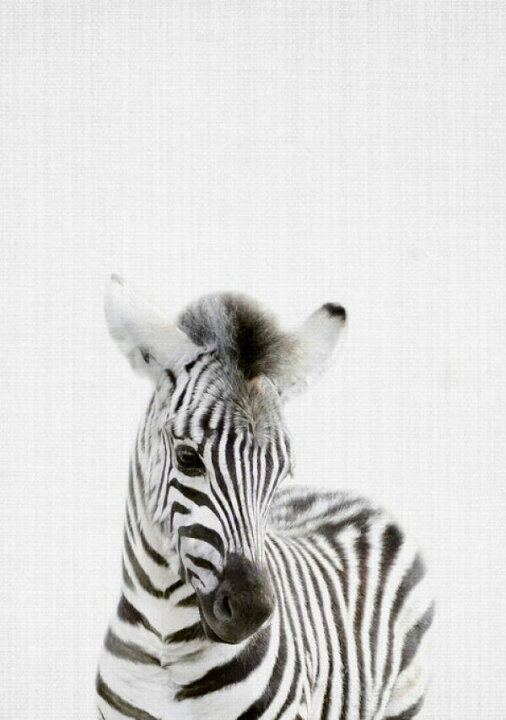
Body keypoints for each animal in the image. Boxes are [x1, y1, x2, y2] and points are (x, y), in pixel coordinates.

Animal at [96, 274, 434, 720]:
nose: (251, 612)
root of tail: (351, 494)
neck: (165, 643)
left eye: (280, 473)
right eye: (188, 458)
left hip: (405, 697)